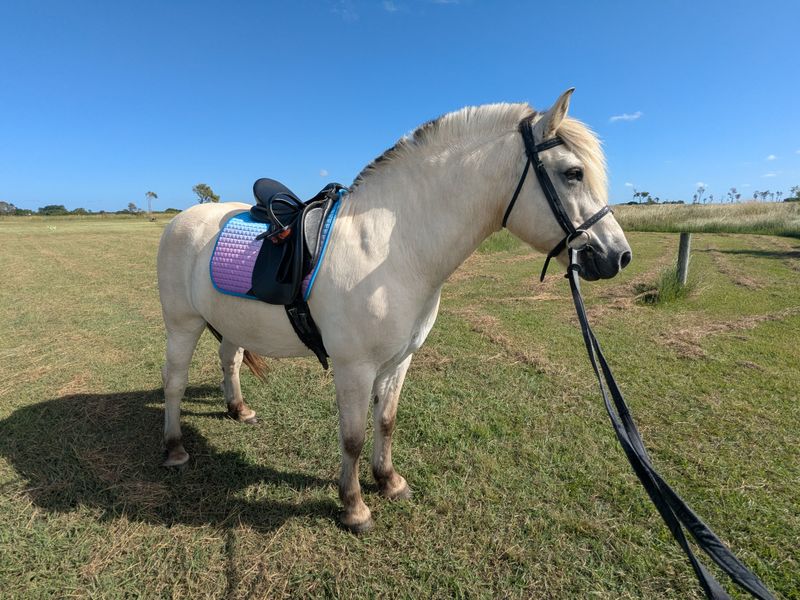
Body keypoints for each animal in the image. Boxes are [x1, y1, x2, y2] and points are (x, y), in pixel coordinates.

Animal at [156, 89, 632, 533]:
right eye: (573, 173)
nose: (618, 255)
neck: (392, 249)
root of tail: (184, 218)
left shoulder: (399, 360)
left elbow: (386, 421)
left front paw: (388, 481)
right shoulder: (354, 367)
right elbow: (352, 437)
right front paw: (354, 507)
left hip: (231, 323)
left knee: (230, 360)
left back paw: (239, 410)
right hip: (182, 325)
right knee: (174, 382)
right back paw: (175, 448)